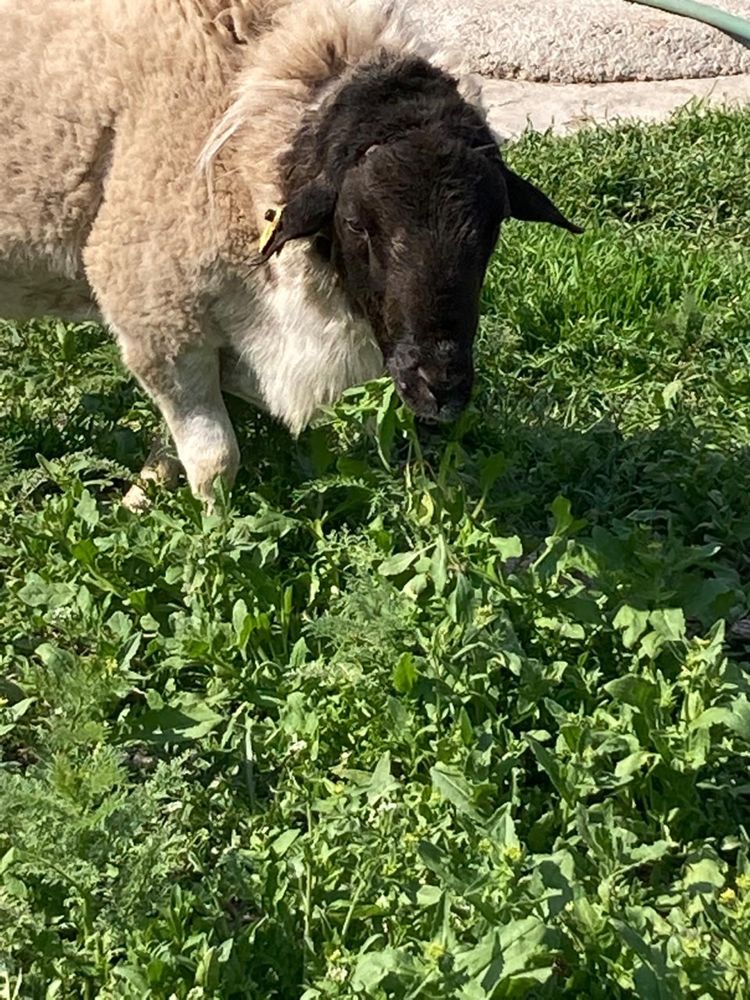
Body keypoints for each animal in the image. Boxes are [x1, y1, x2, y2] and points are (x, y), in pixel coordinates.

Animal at [0, 0, 580, 500]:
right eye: (356, 223)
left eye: (493, 225)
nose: (440, 388)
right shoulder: (158, 314)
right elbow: (215, 462)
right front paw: (207, 537)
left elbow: (174, 451)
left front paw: (143, 496)